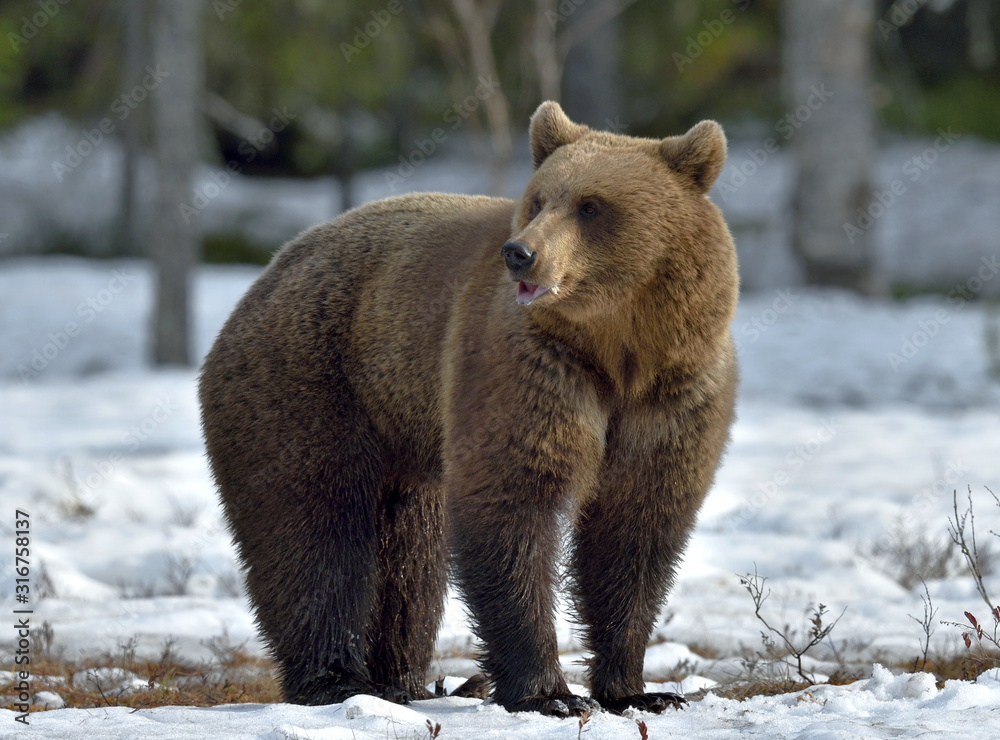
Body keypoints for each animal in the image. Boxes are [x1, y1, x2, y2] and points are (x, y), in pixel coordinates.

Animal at [199, 100, 738, 717]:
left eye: (592, 205)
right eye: (539, 198)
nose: (521, 253)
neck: (618, 349)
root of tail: (266, 275)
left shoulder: (673, 391)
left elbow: (637, 528)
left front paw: (641, 690)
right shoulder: (529, 368)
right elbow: (512, 504)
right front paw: (550, 693)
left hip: (404, 440)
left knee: (411, 560)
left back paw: (402, 679)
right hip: (313, 384)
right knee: (315, 529)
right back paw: (338, 680)